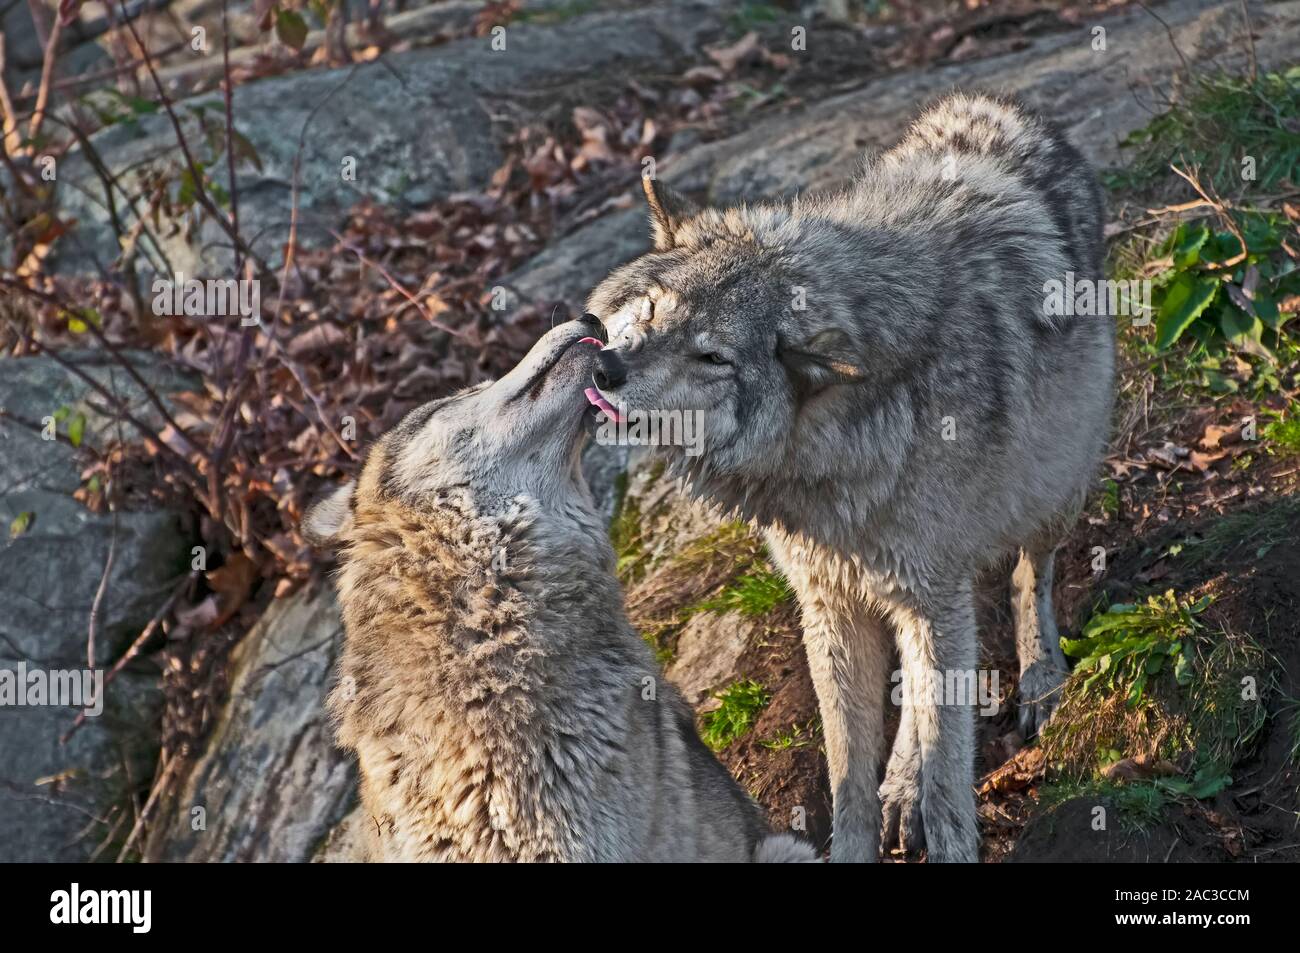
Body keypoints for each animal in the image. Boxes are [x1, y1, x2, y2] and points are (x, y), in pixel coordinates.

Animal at [587, 92, 1118, 858]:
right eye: (653, 309)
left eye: (713, 357)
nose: (605, 369)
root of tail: (999, 107)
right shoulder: (830, 603)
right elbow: (849, 775)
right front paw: (874, 818)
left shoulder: (931, 594)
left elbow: (950, 777)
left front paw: (947, 835)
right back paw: (902, 786)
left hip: (1053, 487)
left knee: (1029, 575)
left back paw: (1042, 679)